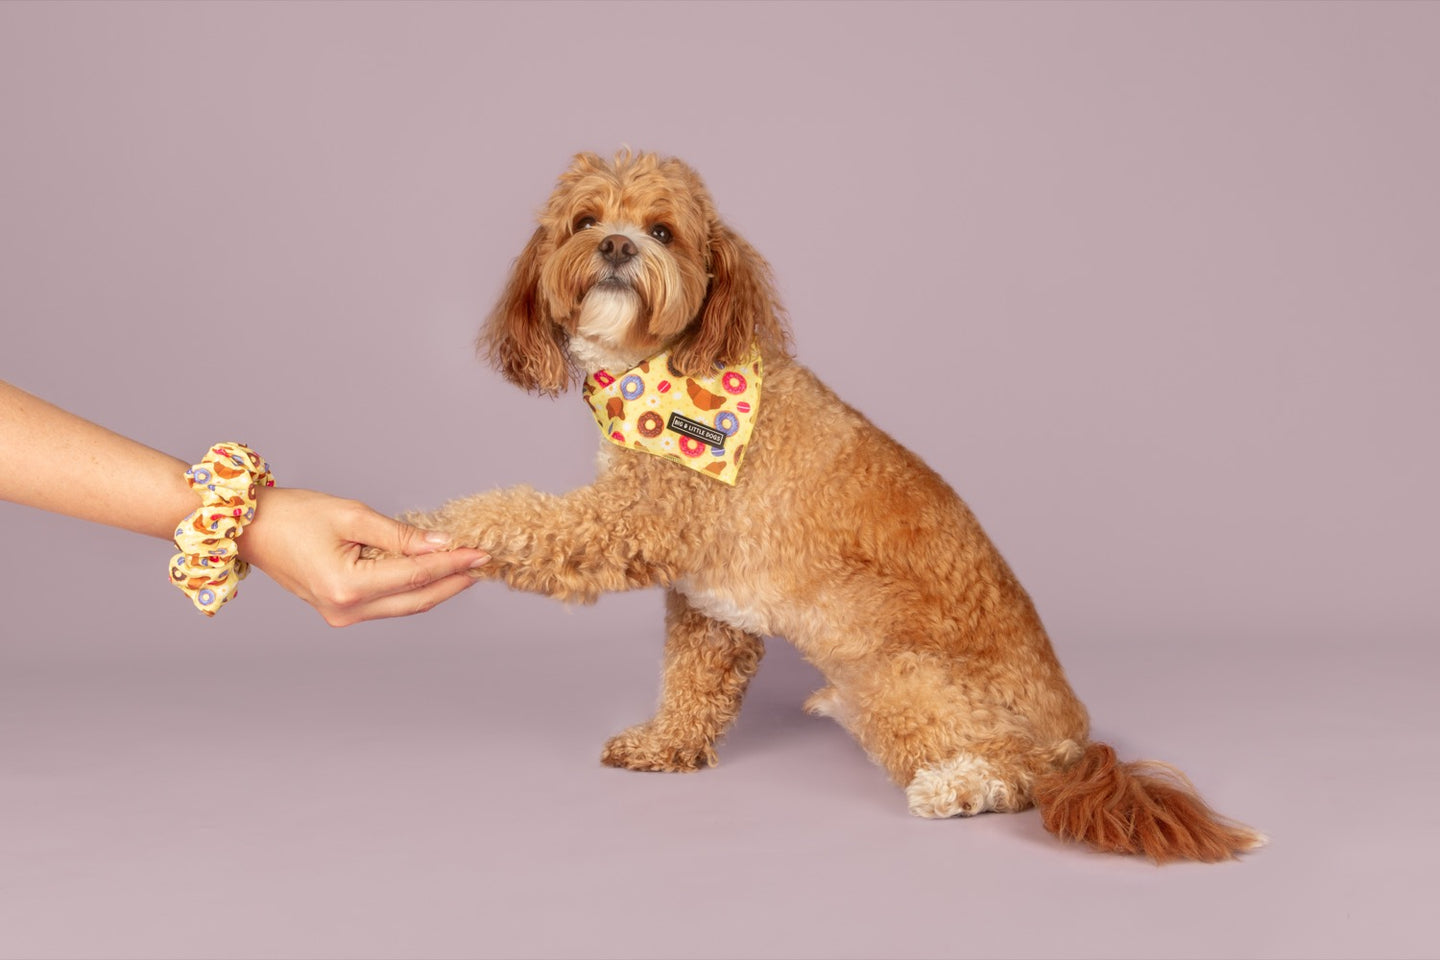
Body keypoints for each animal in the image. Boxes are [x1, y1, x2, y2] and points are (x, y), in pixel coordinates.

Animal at [400, 150, 1267, 863]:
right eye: (585, 221)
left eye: (662, 231)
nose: (615, 247)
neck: (671, 369)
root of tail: (1079, 741)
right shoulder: (712, 604)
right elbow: (693, 681)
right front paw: (668, 746)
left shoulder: (633, 522)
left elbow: (519, 517)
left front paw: (418, 530)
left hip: (893, 669)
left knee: (1019, 776)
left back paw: (958, 788)